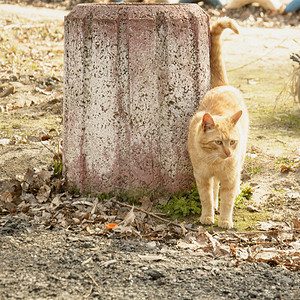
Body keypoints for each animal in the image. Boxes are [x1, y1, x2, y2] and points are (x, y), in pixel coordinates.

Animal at [188, 18, 248, 230]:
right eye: (218, 142)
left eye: (232, 142)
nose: (228, 153)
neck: (214, 162)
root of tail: (222, 85)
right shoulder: (202, 177)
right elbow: (206, 197)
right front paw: (207, 215)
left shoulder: (229, 178)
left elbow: (228, 201)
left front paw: (225, 221)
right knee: (214, 189)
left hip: (241, 159)